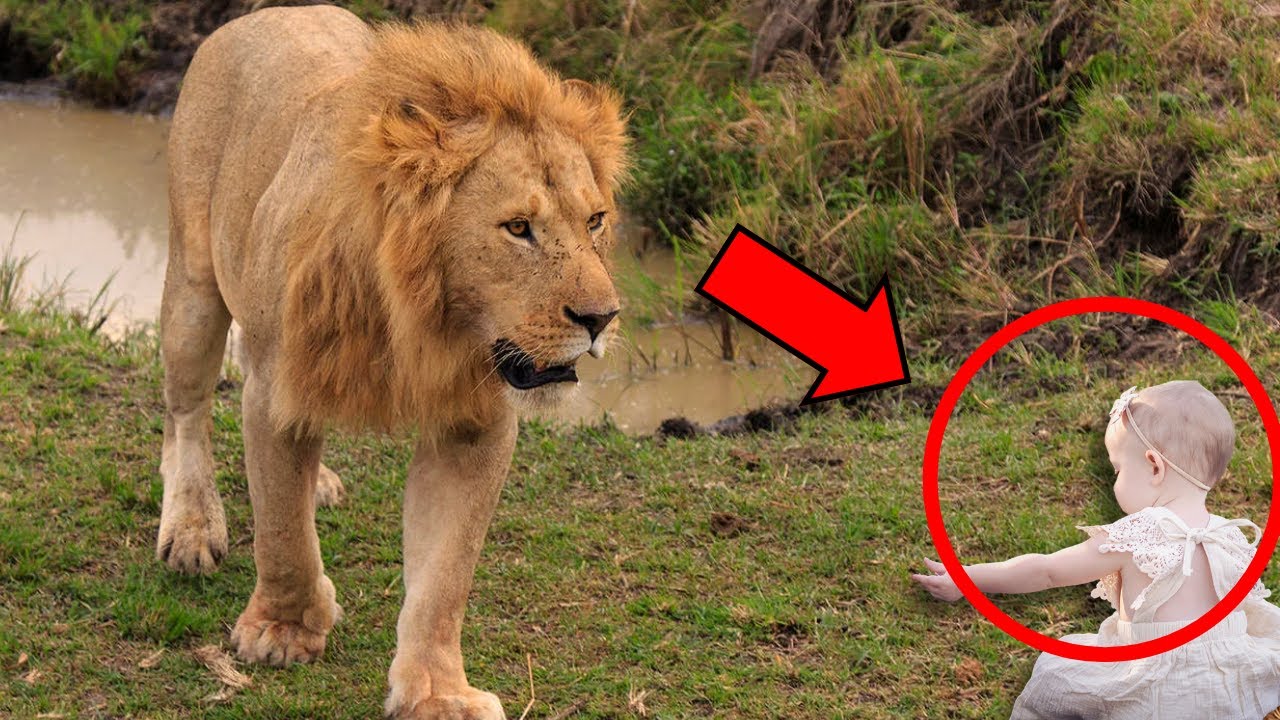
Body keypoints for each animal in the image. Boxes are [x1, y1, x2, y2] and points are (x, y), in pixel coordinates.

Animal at [157, 6, 627, 718]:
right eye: (518, 228)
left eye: (595, 220)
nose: (601, 318)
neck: (423, 319)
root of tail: (265, 14)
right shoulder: (274, 388)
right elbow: (282, 534)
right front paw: (283, 631)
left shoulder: (475, 423)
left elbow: (444, 577)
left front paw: (437, 692)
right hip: (193, 281)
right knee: (185, 412)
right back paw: (190, 526)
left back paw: (316, 483)